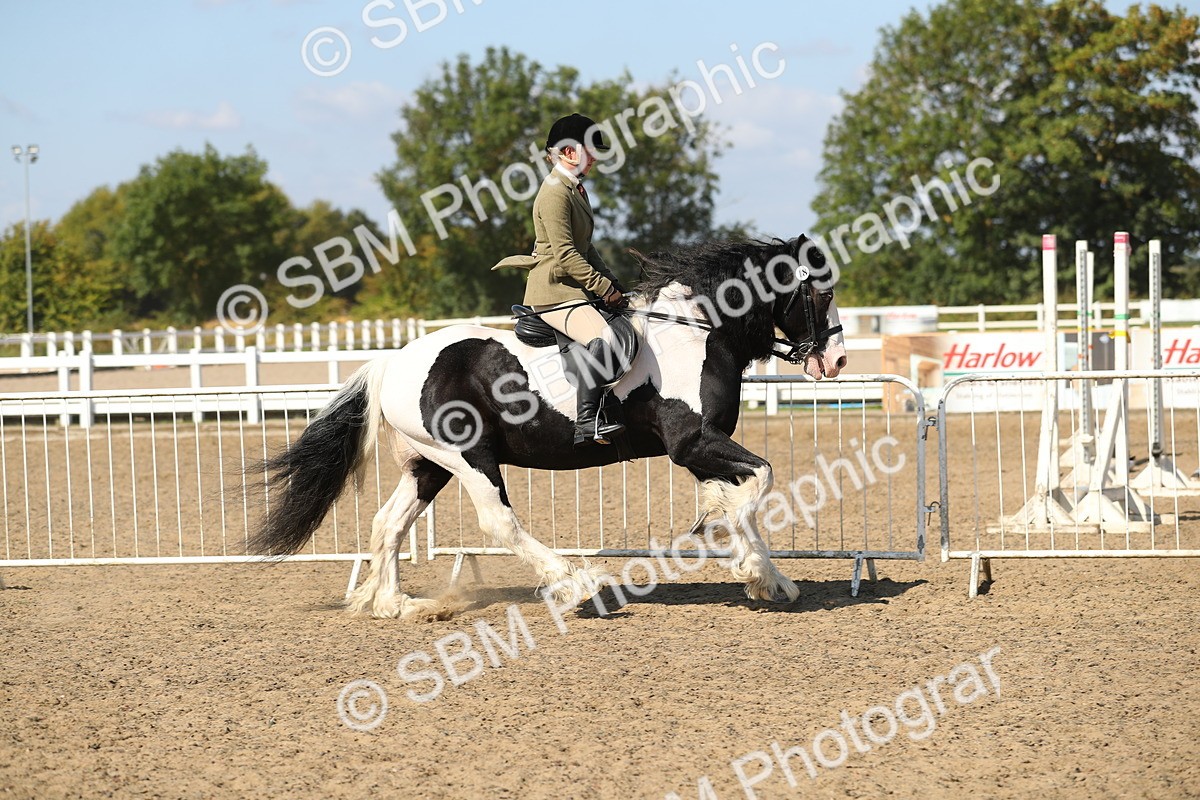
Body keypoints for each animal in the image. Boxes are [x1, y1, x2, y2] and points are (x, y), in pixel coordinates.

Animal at [247, 235, 847, 618]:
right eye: (821, 292)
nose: (837, 361)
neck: (694, 331)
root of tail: (392, 362)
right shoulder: (692, 442)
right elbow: (759, 482)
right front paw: (754, 569)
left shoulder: (704, 447)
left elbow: (737, 495)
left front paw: (768, 577)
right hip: (470, 458)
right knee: (498, 523)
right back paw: (576, 584)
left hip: (428, 465)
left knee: (388, 523)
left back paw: (395, 603)